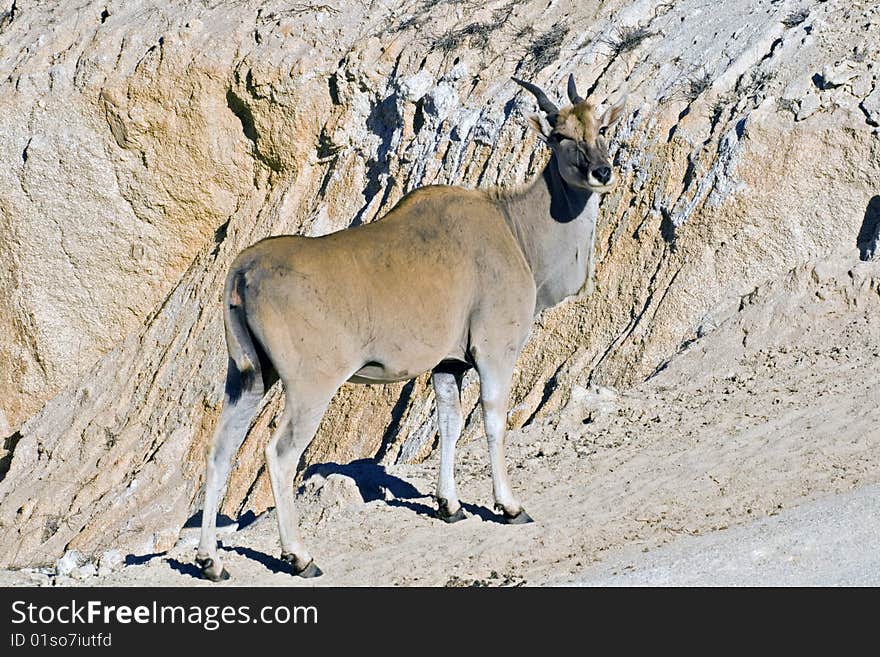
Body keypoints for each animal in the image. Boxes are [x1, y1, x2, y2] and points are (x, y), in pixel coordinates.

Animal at [197, 73, 628, 580]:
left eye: (601, 129)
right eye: (560, 136)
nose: (602, 172)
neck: (513, 229)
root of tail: (244, 267)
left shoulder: (447, 364)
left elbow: (450, 423)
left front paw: (450, 505)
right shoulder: (494, 352)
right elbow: (492, 420)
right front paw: (509, 506)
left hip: (248, 378)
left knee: (219, 452)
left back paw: (210, 561)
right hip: (309, 386)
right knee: (279, 455)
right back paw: (299, 557)